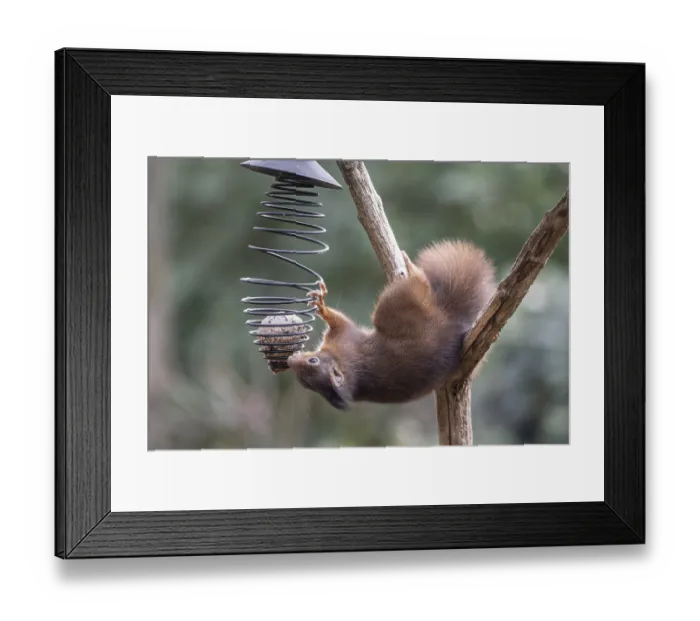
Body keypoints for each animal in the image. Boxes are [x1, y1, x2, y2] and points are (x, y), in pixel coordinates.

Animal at [287, 240, 497, 410]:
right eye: (305, 384)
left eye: (313, 361)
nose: (290, 360)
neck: (342, 362)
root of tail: (449, 324)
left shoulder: (345, 338)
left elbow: (339, 321)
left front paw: (321, 305)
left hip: (392, 302)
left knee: (419, 282)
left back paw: (412, 268)